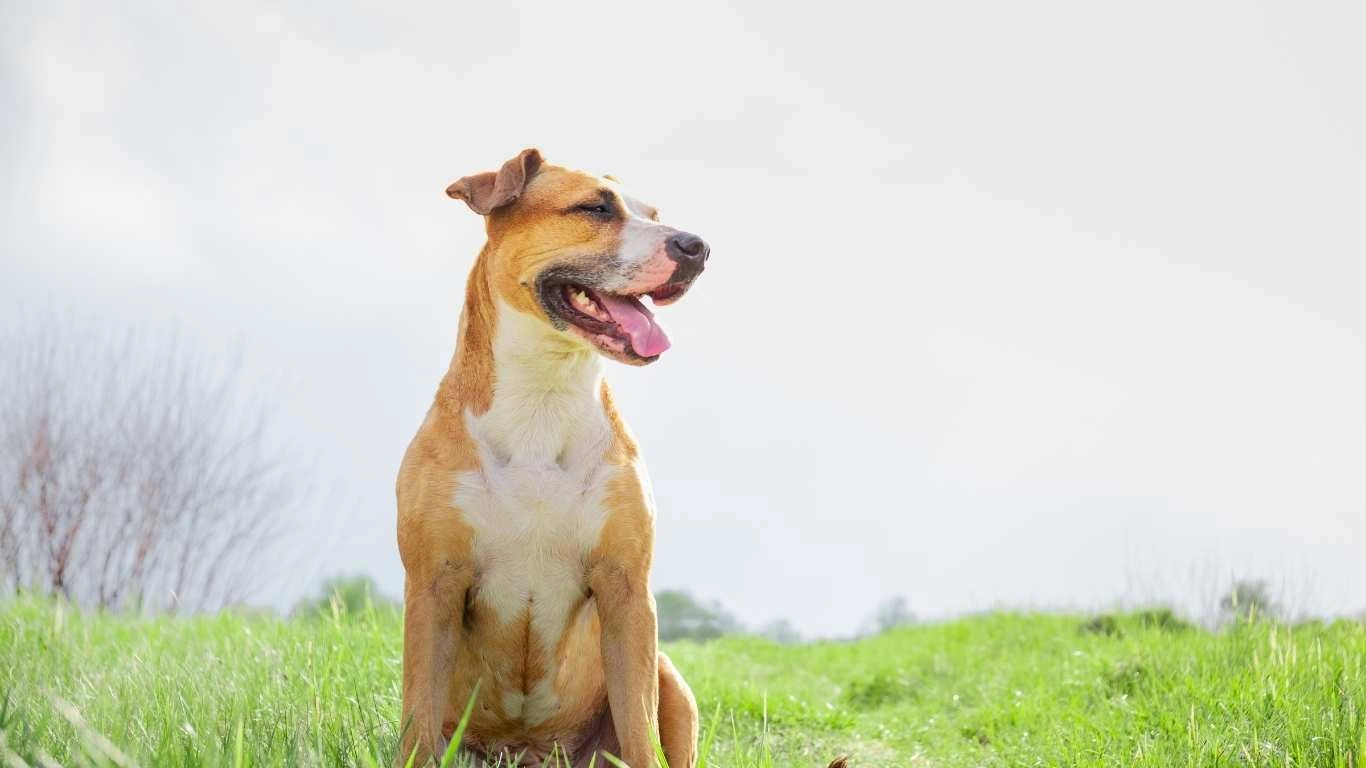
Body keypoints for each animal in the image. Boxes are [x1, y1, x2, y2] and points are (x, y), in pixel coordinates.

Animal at [396, 149, 710, 765]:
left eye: (653, 214)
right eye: (594, 208)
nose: (697, 246)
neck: (545, 391)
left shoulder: (627, 589)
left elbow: (639, 726)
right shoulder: (433, 584)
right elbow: (418, 717)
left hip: (672, 682)